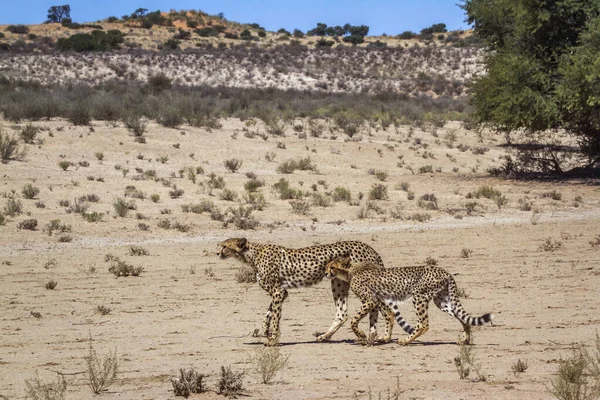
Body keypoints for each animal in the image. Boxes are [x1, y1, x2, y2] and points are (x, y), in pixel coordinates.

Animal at [219, 238, 384, 346]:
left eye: (224, 246)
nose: (217, 253)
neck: (252, 255)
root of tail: (369, 247)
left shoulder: (278, 291)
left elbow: (275, 316)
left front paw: (273, 340)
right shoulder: (281, 292)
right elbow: (268, 314)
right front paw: (266, 331)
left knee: (374, 305)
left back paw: (371, 336)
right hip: (339, 281)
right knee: (342, 313)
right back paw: (326, 337)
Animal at [326, 258, 494, 346]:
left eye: (332, 266)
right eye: (327, 266)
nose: (327, 273)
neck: (350, 271)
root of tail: (445, 271)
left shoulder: (371, 299)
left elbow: (354, 320)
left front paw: (361, 334)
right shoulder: (379, 299)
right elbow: (387, 317)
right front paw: (383, 338)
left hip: (418, 296)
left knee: (424, 324)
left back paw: (405, 341)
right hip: (442, 301)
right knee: (461, 316)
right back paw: (465, 339)